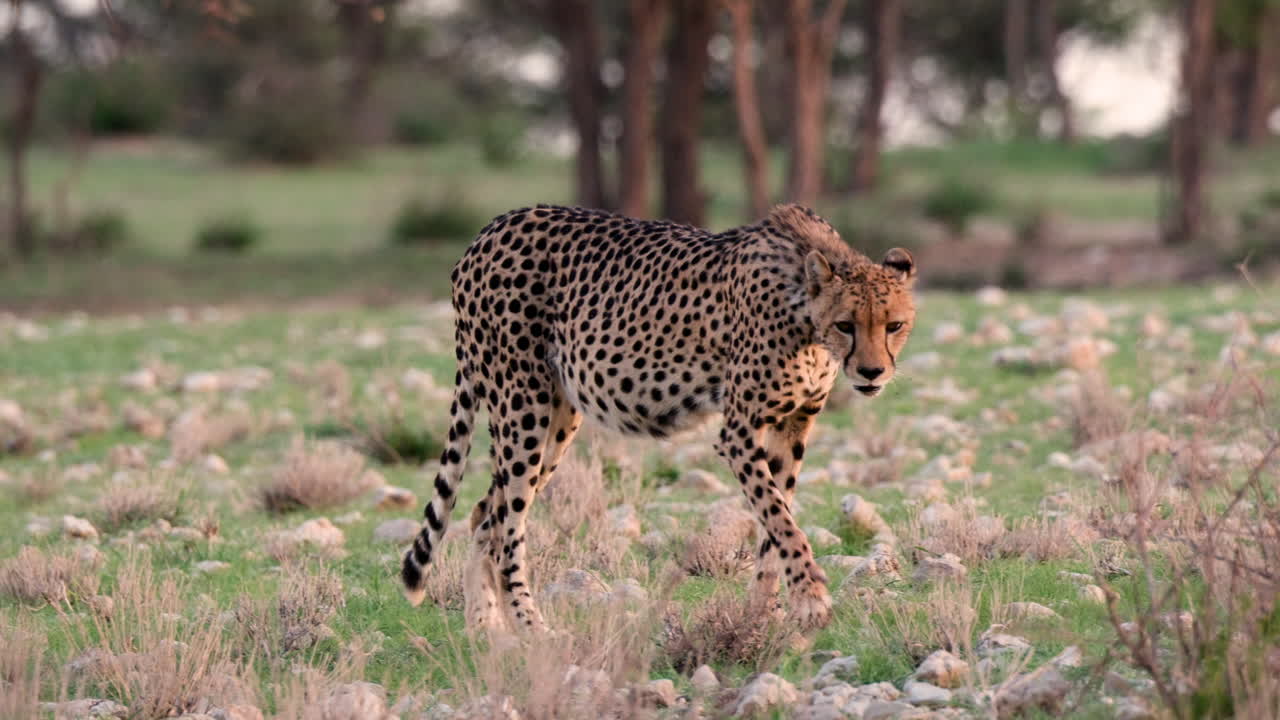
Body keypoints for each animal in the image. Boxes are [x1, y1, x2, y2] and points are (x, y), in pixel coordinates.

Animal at [400, 202, 918, 632]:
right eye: (846, 325)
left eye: (894, 324)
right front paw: (810, 599)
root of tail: (491, 228)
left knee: (486, 513)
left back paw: (486, 633)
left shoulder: (794, 423)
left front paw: (764, 615)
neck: (804, 314)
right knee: (508, 525)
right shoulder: (739, 430)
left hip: (558, 415)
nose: (872, 372)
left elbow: (775, 523)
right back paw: (530, 630)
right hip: (522, 404)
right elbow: (780, 518)